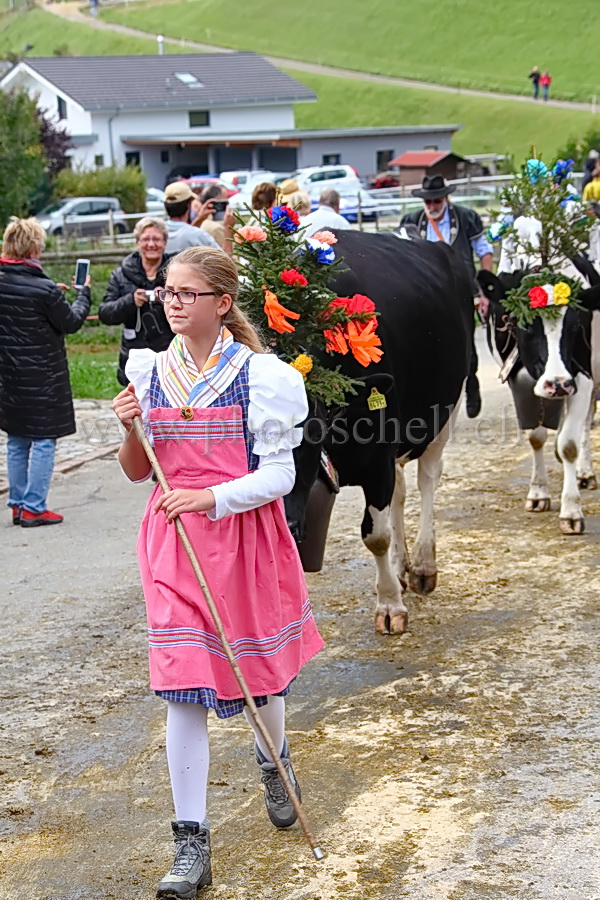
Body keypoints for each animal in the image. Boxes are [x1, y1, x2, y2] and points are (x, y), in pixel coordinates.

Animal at [286, 225, 474, 632]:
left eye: (310, 433)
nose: (289, 525)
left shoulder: (376, 460)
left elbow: (376, 535)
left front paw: (389, 605)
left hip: (448, 406)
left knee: (427, 478)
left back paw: (422, 566)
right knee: (402, 491)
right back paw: (403, 567)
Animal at [480, 268, 600, 536]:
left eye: (575, 325)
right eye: (526, 326)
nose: (557, 383)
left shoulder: (582, 377)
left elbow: (569, 444)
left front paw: (571, 512)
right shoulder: (518, 379)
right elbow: (535, 437)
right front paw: (538, 492)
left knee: (586, 419)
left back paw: (584, 471)